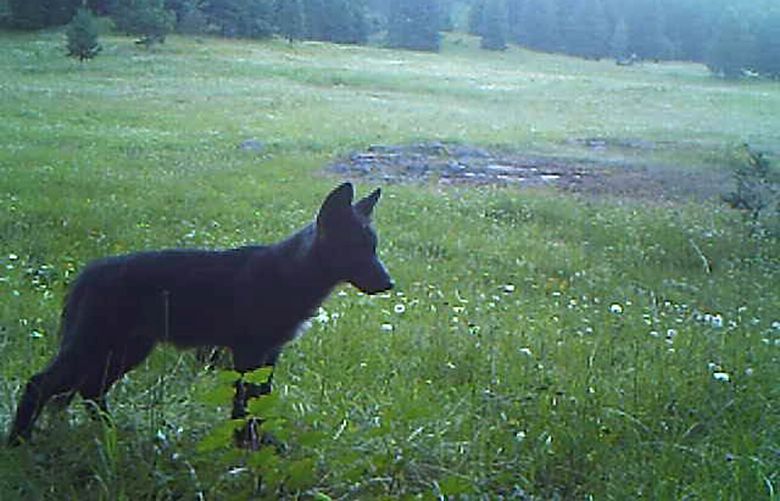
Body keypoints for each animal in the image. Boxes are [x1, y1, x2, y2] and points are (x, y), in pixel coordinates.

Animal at [8, 182, 394, 444]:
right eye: (355, 248)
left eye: (373, 247)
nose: (389, 283)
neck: (290, 274)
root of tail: (86, 274)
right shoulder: (248, 352)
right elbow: (243, 405)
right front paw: (245, 444)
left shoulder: (270, 354)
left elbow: (259, 402)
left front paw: (261, 445)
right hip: (96, 346)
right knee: (39, 384)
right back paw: (18, 442)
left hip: (126, 351)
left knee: (90, 390)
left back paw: (111, 434)